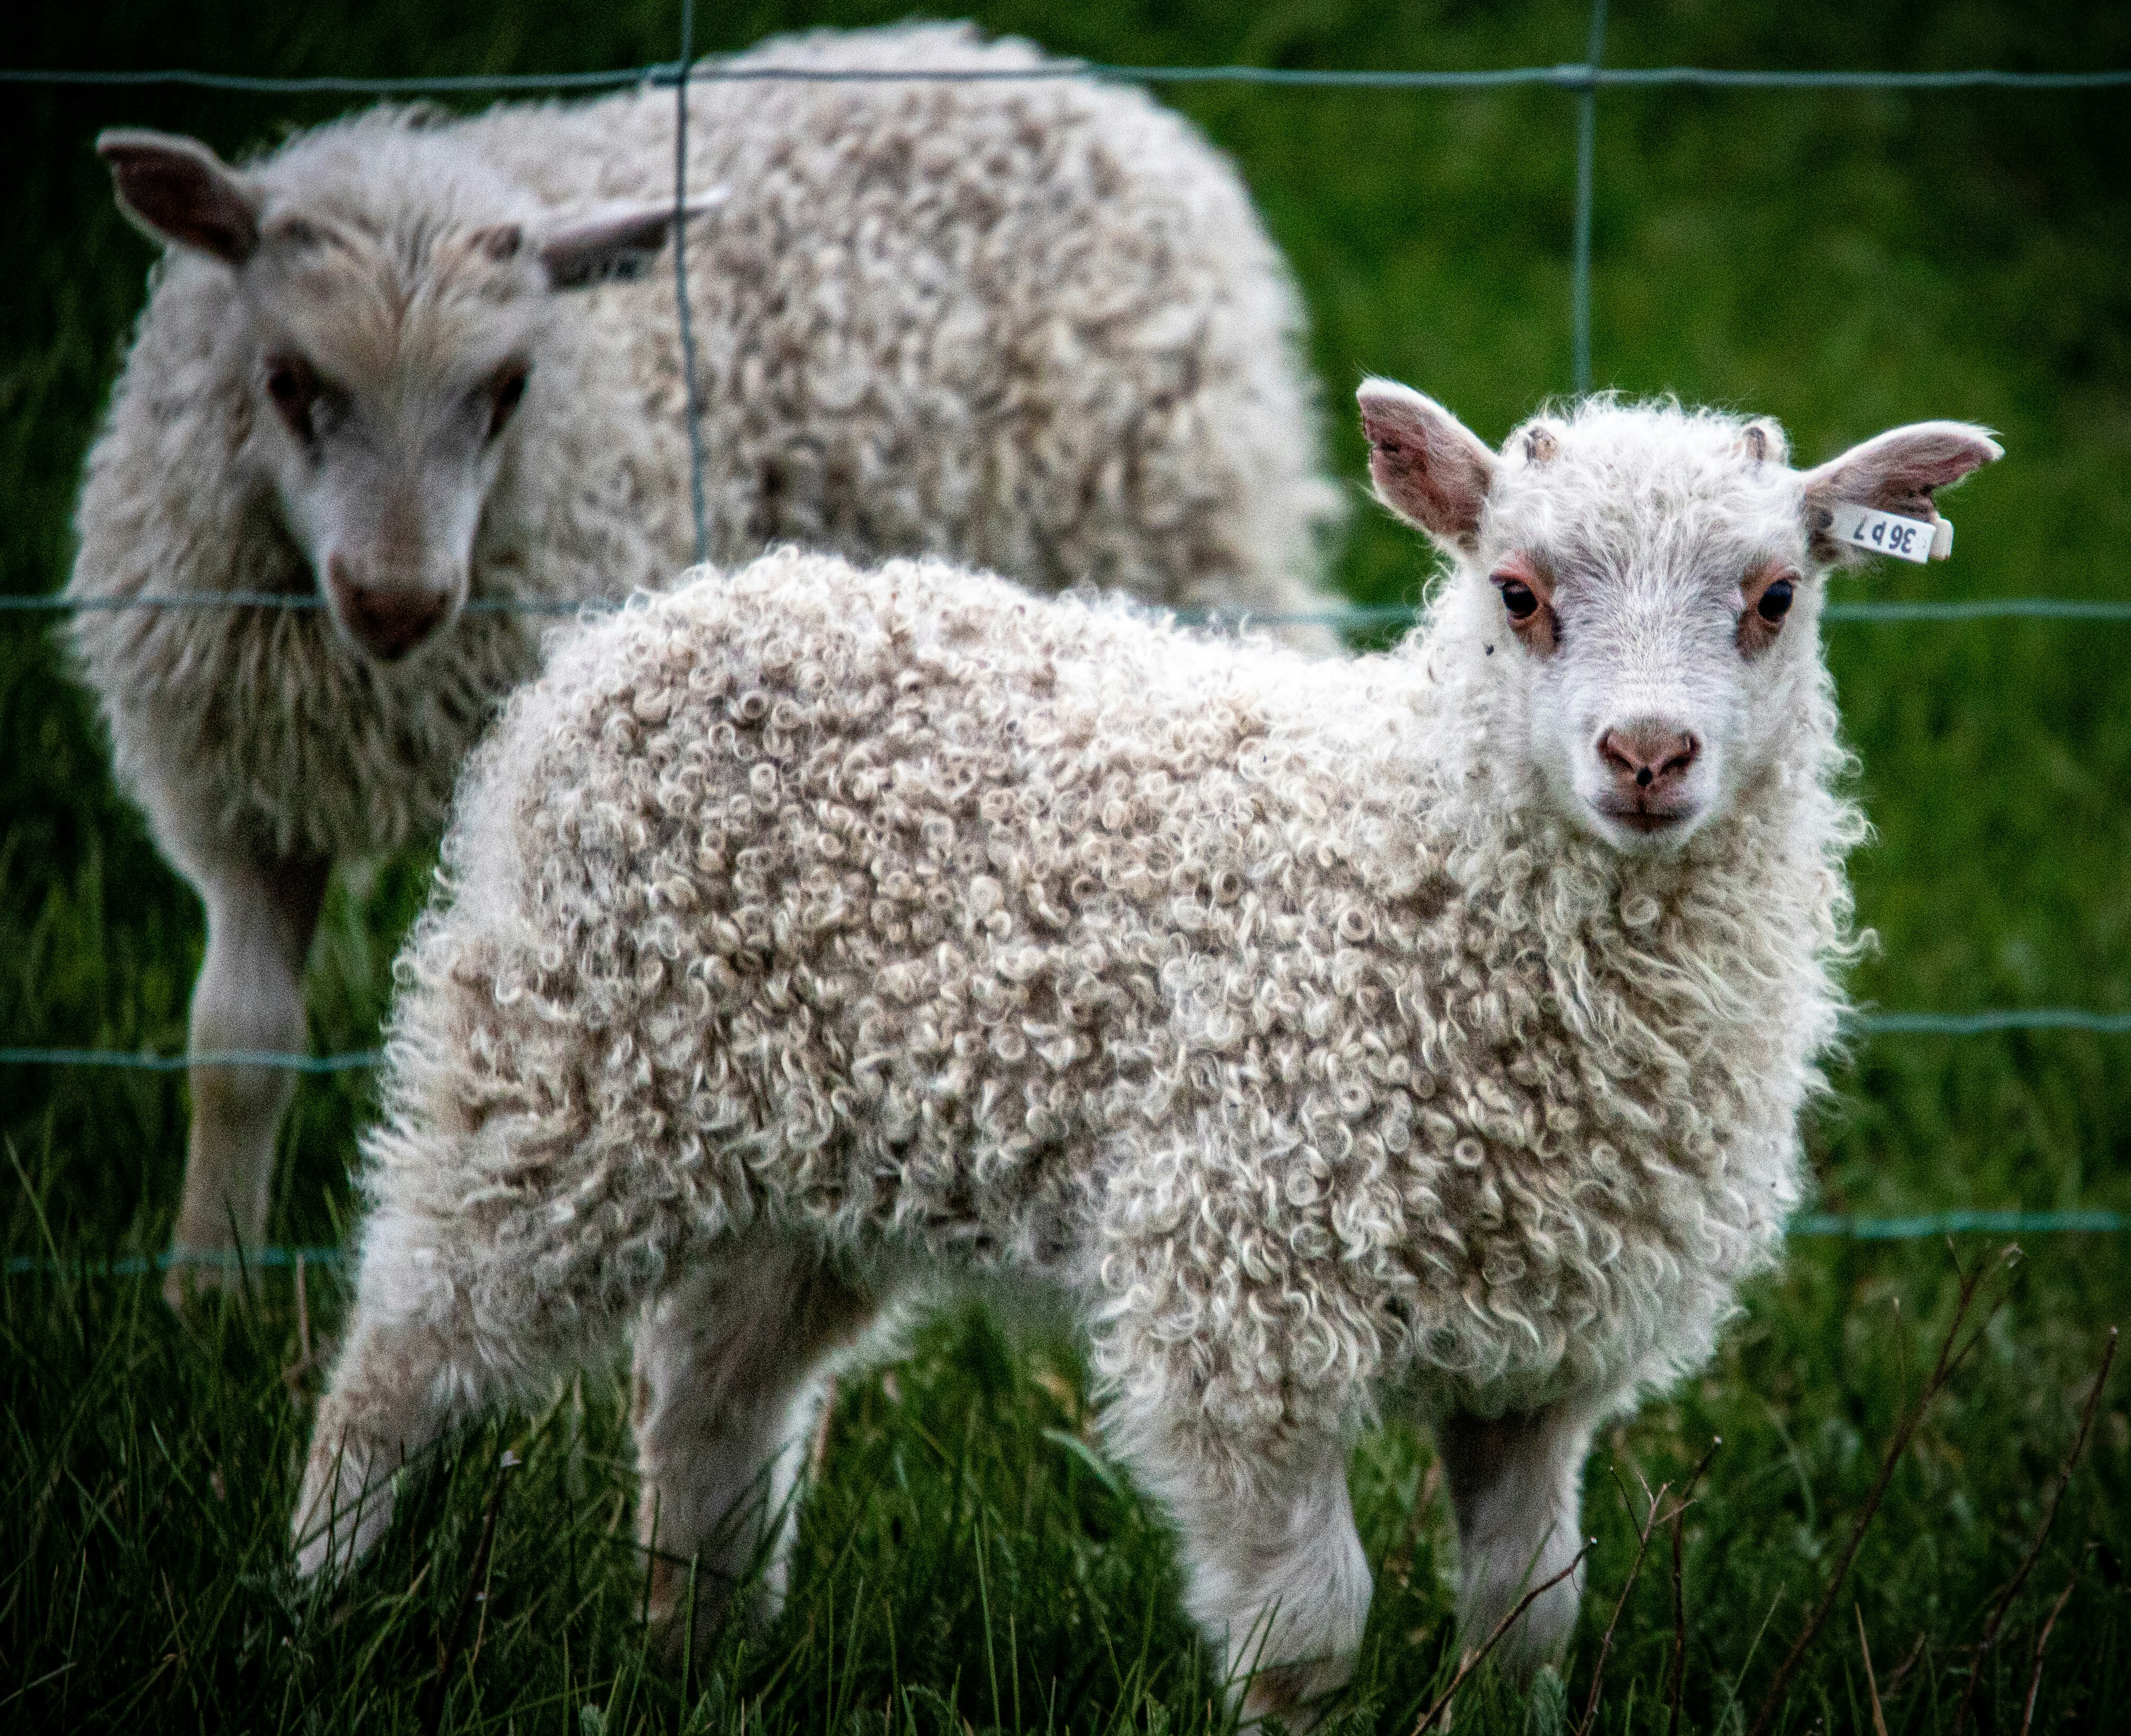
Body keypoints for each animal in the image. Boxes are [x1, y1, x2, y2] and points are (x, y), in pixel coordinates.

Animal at [64, 22, 1345, 1300]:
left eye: (509, 389)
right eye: (287, 382)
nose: (396, 600)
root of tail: (1070, 85)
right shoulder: (241, 789)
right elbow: (237, 1041)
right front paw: (206, 1286)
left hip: (1175, 539)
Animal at [290, 380, 1998, 1718]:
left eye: (1774, 597)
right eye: (1515, 592)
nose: (1647, 756)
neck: (1413, 856)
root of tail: (651, 622)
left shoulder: (1541, 1359)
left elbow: (1528, 1620)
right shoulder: (1243, 1296)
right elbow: (1307, 1640)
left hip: (799, 1166)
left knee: (705, 1404)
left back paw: (696, 1661)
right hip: (557, 1071)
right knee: (404, 1347)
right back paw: (311, 1603)